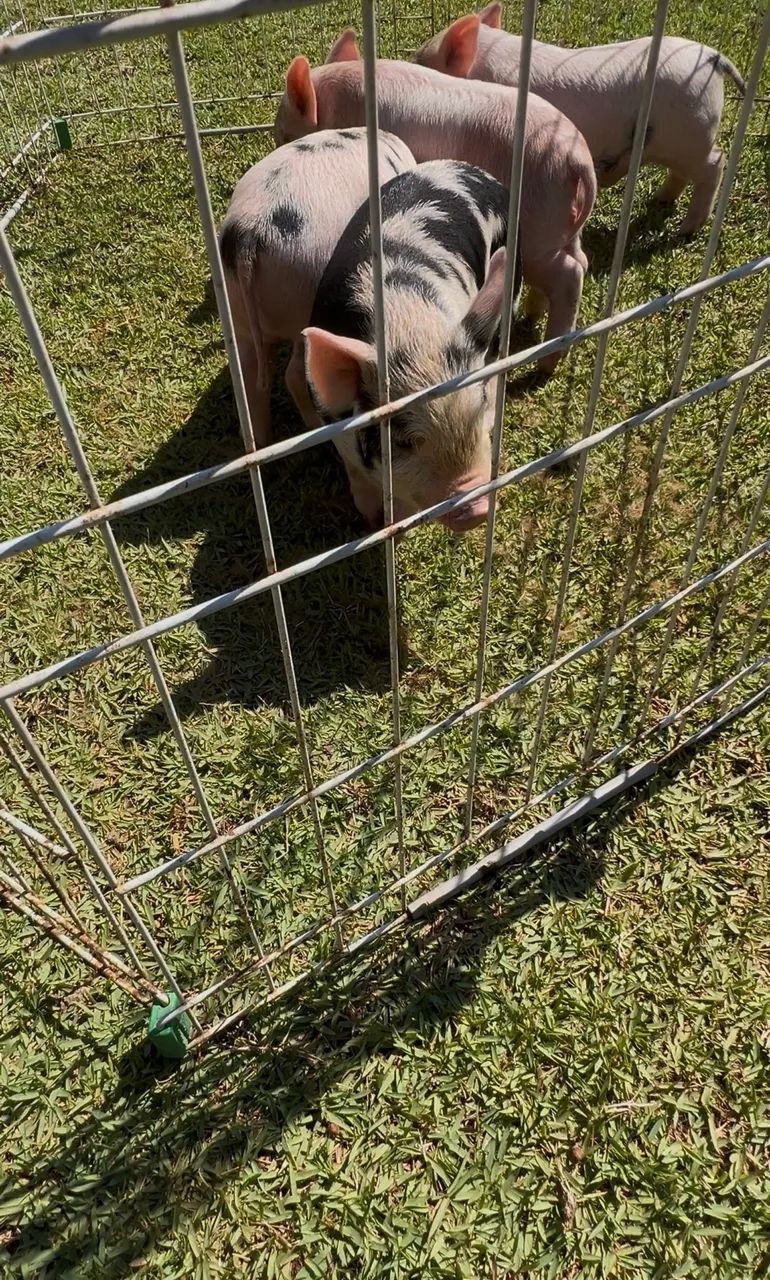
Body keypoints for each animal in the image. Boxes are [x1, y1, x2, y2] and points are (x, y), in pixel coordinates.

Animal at [218, 127, 415, 445]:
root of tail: (249, 233)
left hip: (239, 312)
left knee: (249, 379)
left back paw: (262, 441)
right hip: (304, 291)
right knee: (295, 374)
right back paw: (314, 428)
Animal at [274, 34, 596, 373]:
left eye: (284, 134)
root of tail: (579, 161)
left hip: (537, 230)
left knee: (570, 272)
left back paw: (547, 363)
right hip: (561, 225)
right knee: (580, 259)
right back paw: (532, 317)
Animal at [302, 159, 523, 532]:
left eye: (477, 406)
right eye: (401, 439)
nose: (474, 508)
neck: (409, 321)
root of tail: (468, 168)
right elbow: (356, 472)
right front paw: (373, 521)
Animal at [416, 4, 746, 236]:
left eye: (421, 60)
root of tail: (714, 59)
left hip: (690, 133)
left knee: (715, 164)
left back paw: (685, 229)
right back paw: (659, 201)